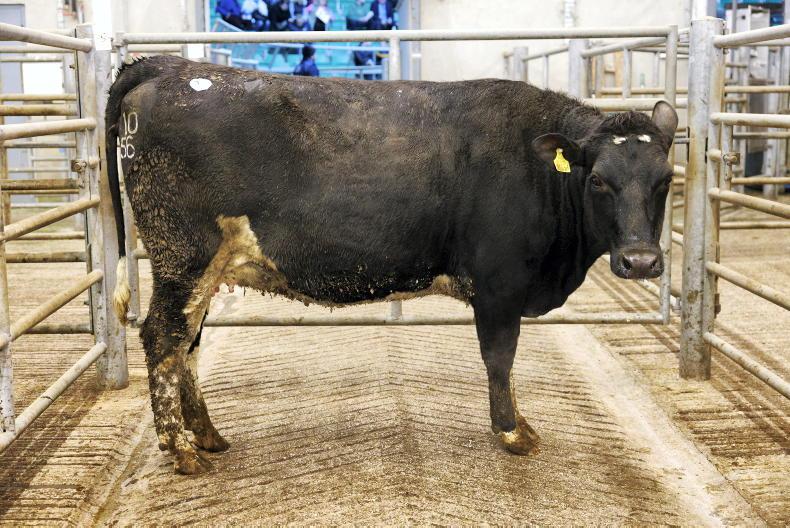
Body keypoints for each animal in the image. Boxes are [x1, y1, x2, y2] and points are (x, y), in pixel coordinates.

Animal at [106, 55, 677, 474]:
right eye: (597, 179)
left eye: (667, 178)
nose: (641, 261)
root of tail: (170, 65)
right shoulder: (499, 284)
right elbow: (500, 358)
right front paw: (512, 431)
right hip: (184, 255)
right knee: (163, 338)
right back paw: (181, 450)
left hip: (203, 267)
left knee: (187, 342)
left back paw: (207, 435)